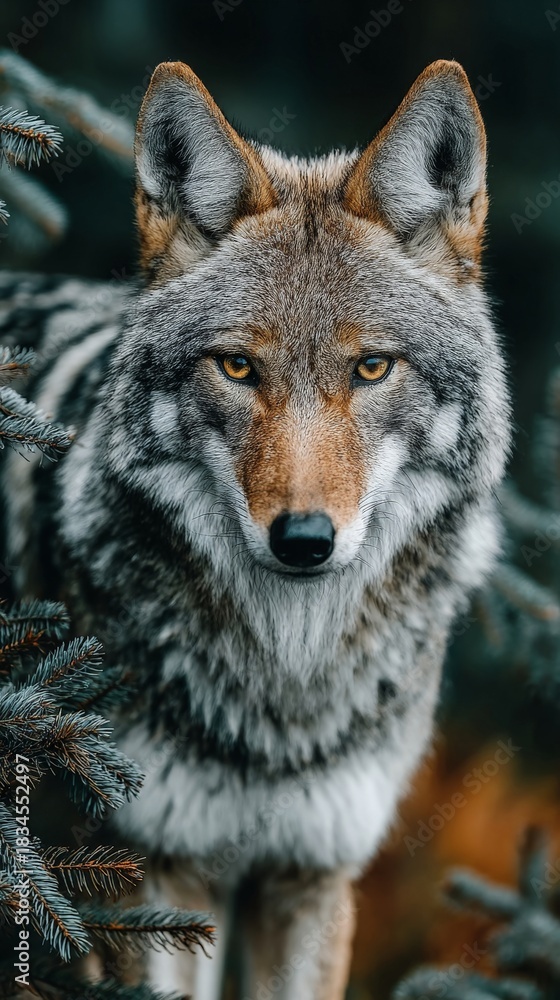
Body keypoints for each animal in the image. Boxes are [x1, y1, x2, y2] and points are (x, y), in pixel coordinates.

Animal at [0, 59, 510, 999]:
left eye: (372, 368)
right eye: (237, 367)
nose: (303, 540)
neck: (286, 686)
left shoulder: (310, 877)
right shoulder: (157, 874)